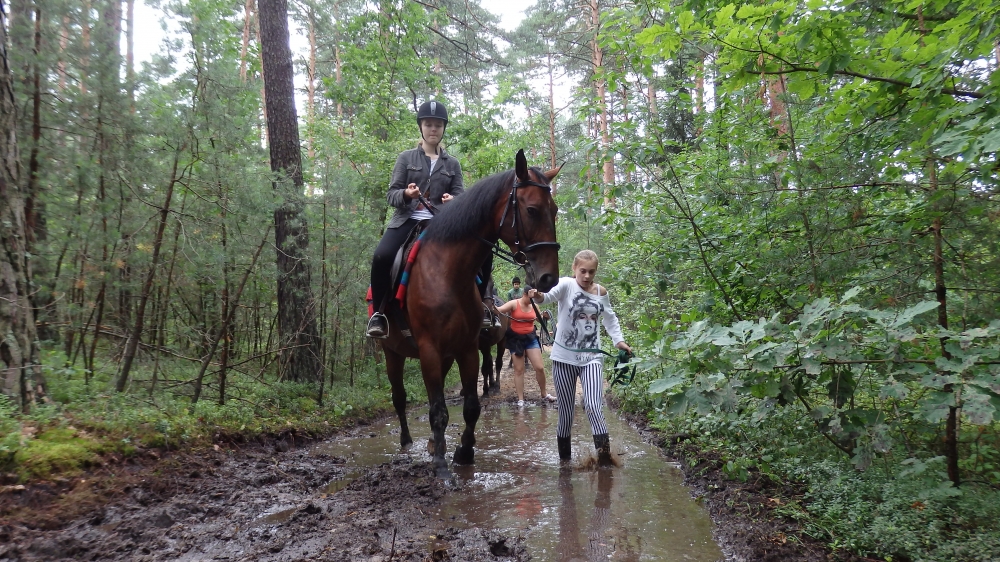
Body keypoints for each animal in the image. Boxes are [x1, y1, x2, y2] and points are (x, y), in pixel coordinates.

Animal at [379, 150, 560, 478]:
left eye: (554, 210)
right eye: (531, 210)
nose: (549, 278)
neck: (447, 274)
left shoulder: (465, 348)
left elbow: (471, 405)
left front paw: (463, 452)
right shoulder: (429, 349)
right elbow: (438, 410)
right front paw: (441, 467)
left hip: (447, 355)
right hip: (392, 352)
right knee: (399, 398)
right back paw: (407, 442)